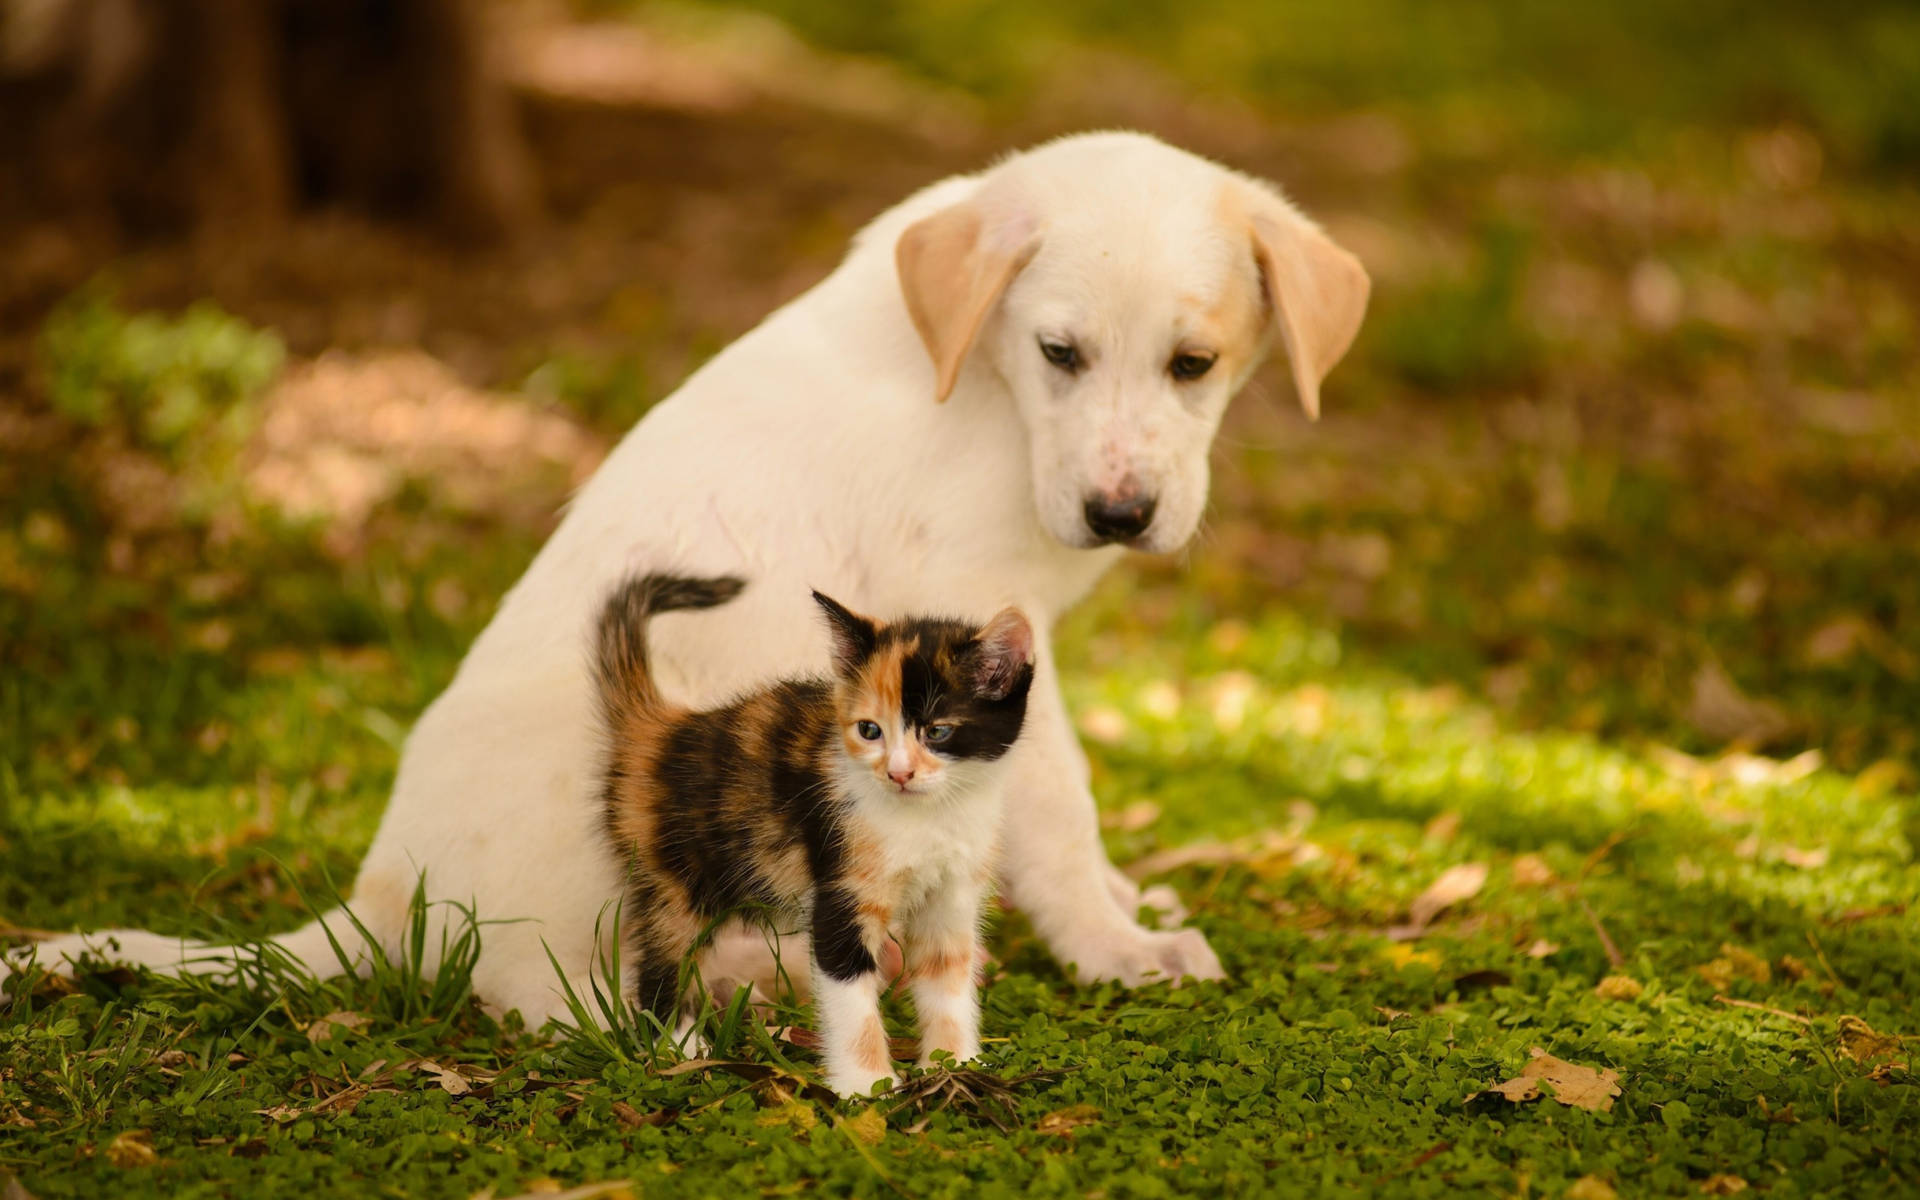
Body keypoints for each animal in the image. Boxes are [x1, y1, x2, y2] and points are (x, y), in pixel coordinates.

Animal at [15, 138, 1367, 1021]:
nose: (1122, 514)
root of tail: (375, 902)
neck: (978, 381)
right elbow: (1057, 802)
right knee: (550, 993)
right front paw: (1114, 946)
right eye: (1060, 352)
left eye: (1194, 364)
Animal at [595, 572, 1036, 1098]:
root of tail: (660, 727)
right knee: (664, 957)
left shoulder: (951, 898)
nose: (898, 773)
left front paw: (954, 1064)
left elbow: (946, 979)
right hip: (675, 878)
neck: (929, 815)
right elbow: (850, 998)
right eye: (869, 730)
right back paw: (679, 1049)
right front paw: (867, 1086)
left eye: (938, 732)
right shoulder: (840, 887)